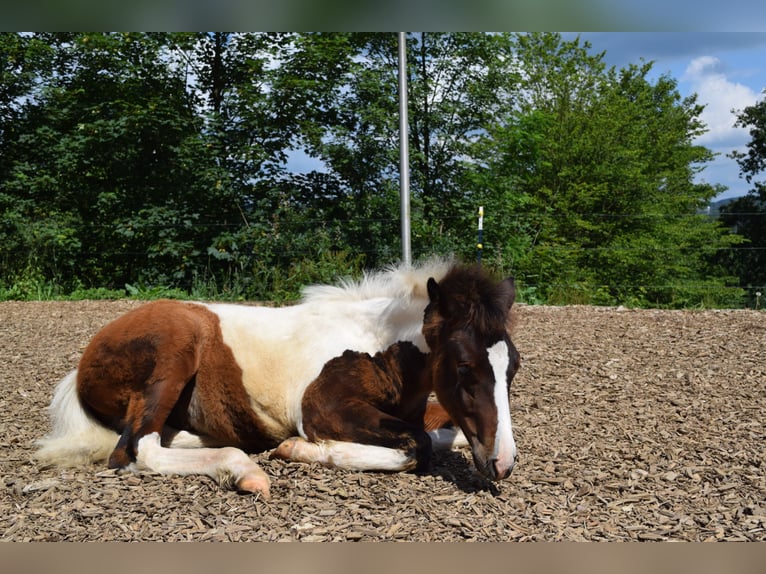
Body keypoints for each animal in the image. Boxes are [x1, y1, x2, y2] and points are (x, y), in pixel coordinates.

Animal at [33, 260, 520, 500]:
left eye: (511, 367)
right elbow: (417, 445)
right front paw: (302, 449)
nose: (501, 464)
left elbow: (438, 433)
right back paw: (244, 470)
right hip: (176, 349)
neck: (379, 349)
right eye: (464, 367)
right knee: (136, 449)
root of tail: (83, 364)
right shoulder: (323, 409)